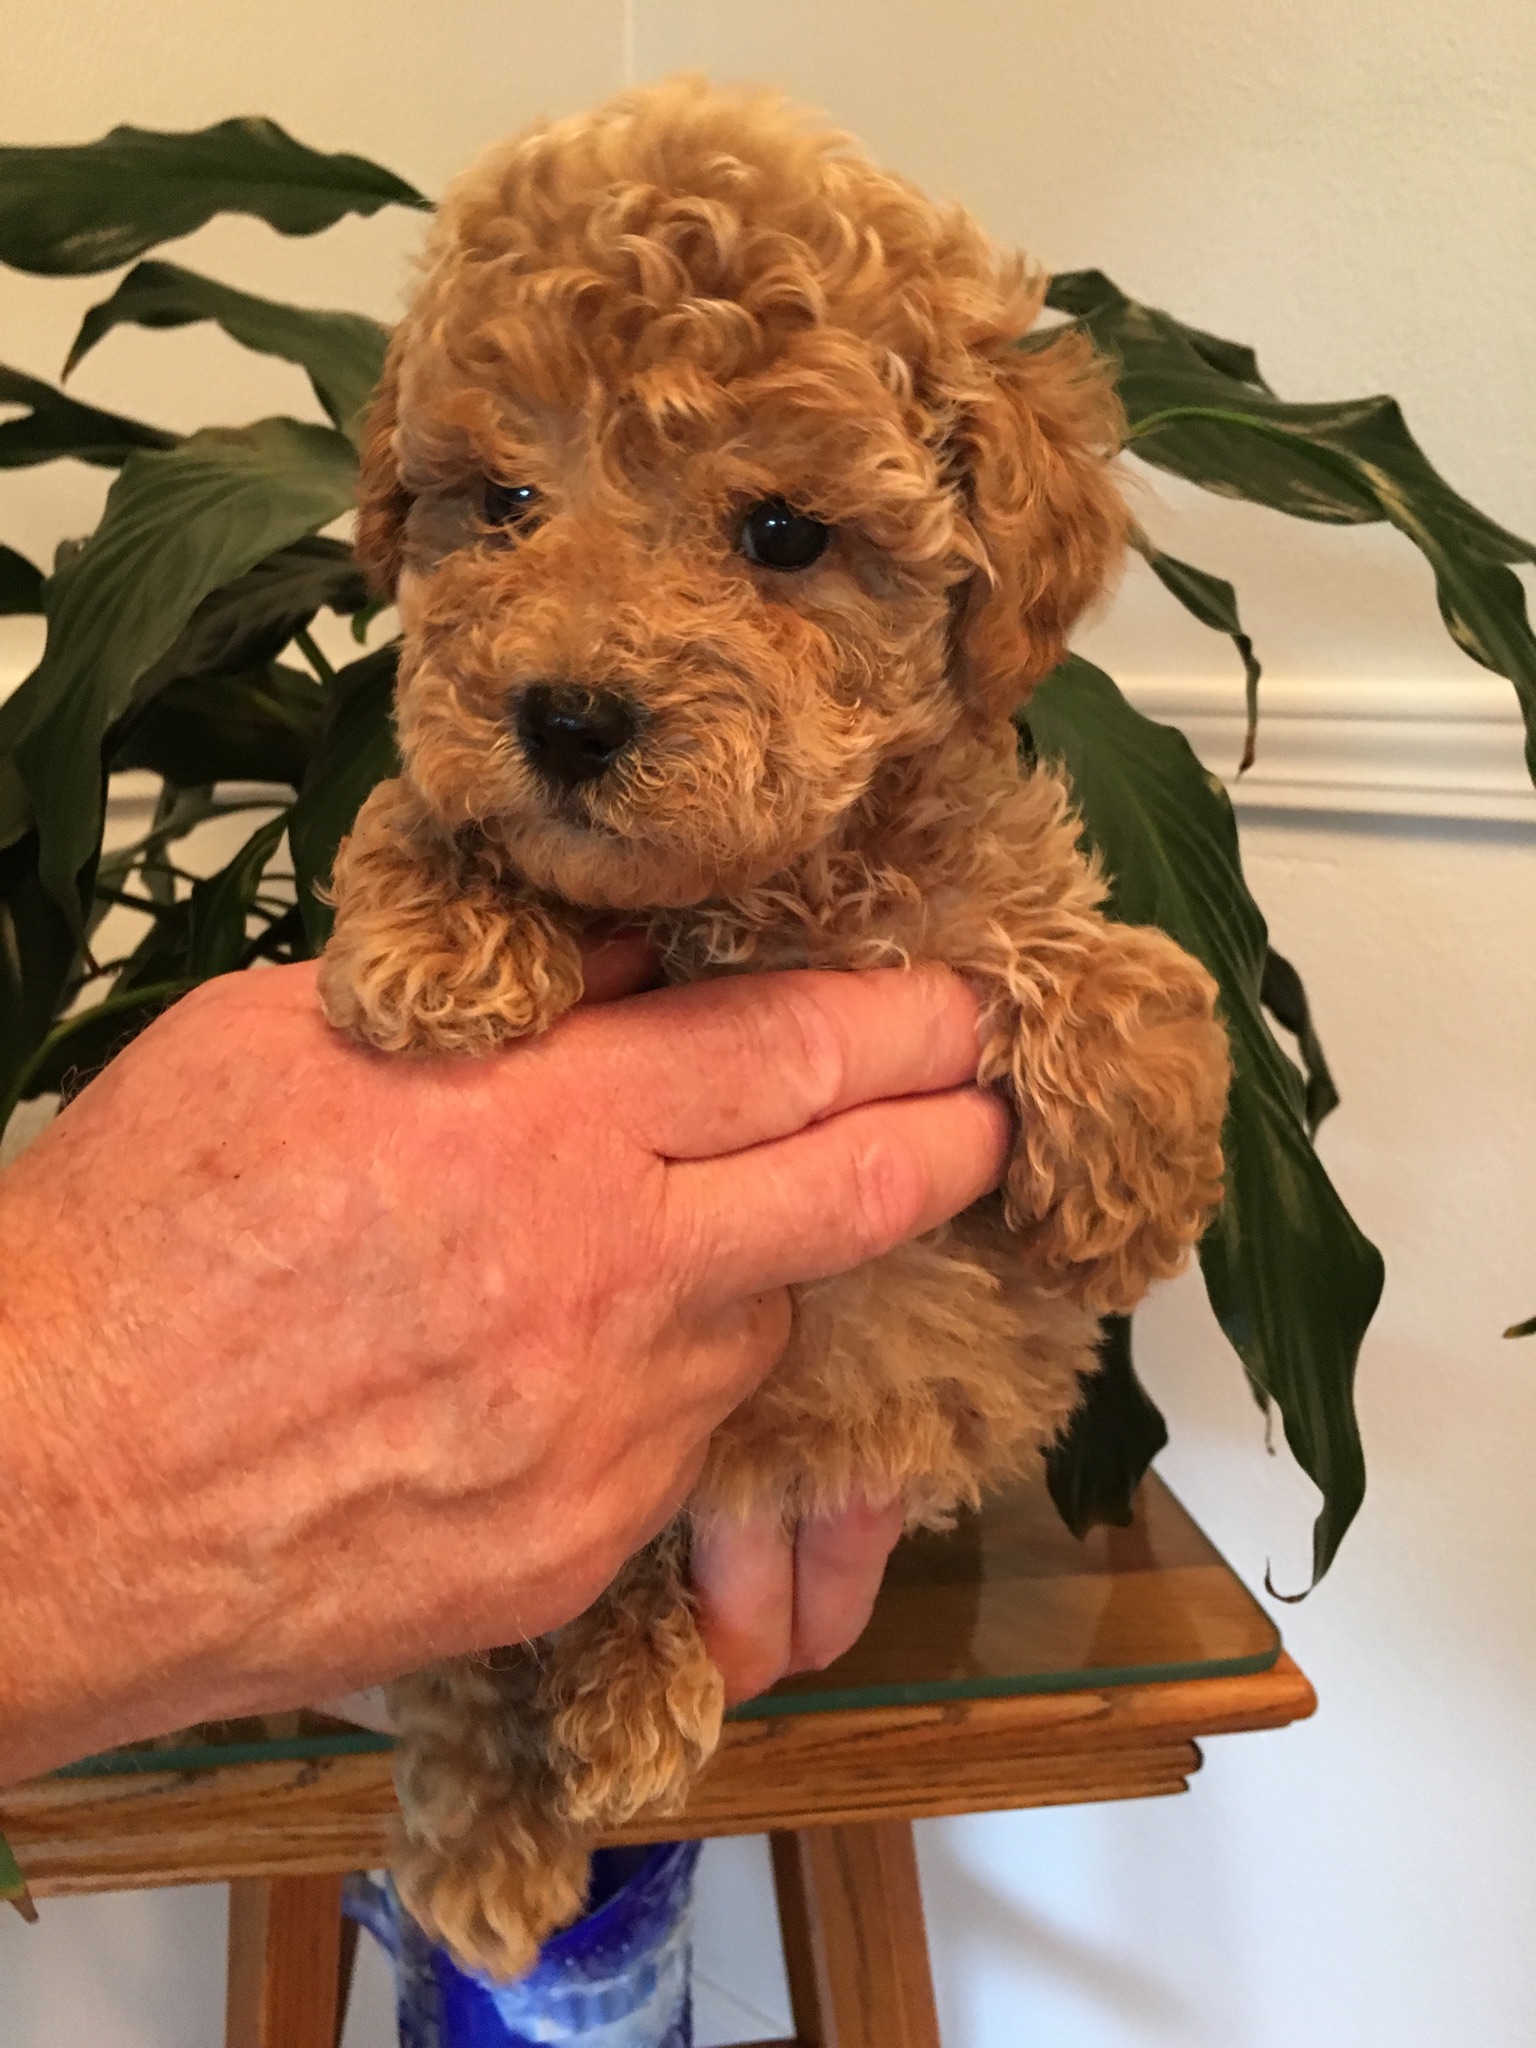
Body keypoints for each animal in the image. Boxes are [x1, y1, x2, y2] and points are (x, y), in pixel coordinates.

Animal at [319, 72, 1236, 1974]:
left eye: (783, 535)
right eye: (502, 502)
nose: (566, 714)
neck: (759, 892)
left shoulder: (982, 878)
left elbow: (1114, 970)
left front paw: (1120, 1176)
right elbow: (410, 805)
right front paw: (444, 942)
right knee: (490, 1657)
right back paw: (535, 1797)